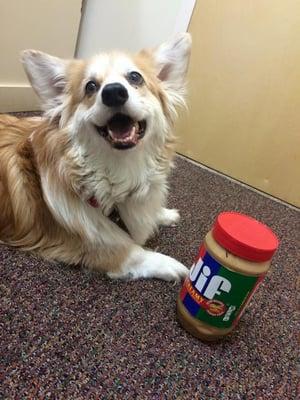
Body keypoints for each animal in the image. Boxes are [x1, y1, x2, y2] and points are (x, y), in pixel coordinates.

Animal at [0, 32, 192, 282]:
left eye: (135, 77)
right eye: (91, 86)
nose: (113, 92)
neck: (121, 168)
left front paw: (164, 214)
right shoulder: (93, 245)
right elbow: (135, 252)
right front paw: (173, 266)